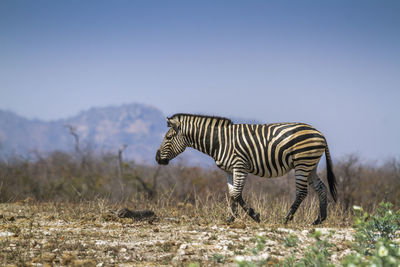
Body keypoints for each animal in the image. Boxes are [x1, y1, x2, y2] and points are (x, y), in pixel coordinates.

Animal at [155, 114, 336, 225]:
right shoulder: (229, 170)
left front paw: (254, 216)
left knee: (302, 192)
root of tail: (320, 133)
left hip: (302, 163)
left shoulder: (240, 166)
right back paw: (319, 220)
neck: (218, 141)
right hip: (310, 165)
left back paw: (286, 219)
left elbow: (236, 194)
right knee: (321, 187)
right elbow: (232, 193)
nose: (157, 159)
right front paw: (231, 218)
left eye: (168, 137)